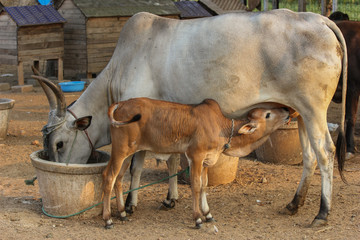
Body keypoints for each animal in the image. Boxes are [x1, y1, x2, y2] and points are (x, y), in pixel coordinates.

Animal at [101, 97, 290, 229]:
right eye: (268, 114)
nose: (287, 110)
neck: (221, 127)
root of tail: (121, 103)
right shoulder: (196, 157)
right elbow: (196, 187)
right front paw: (198, 218)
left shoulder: (207, 161)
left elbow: (204, 185)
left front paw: (207, 214)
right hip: (119, 151)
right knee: (108, 177)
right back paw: (108, 219)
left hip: (127, 154)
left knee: (118, 179)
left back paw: (122, 213)